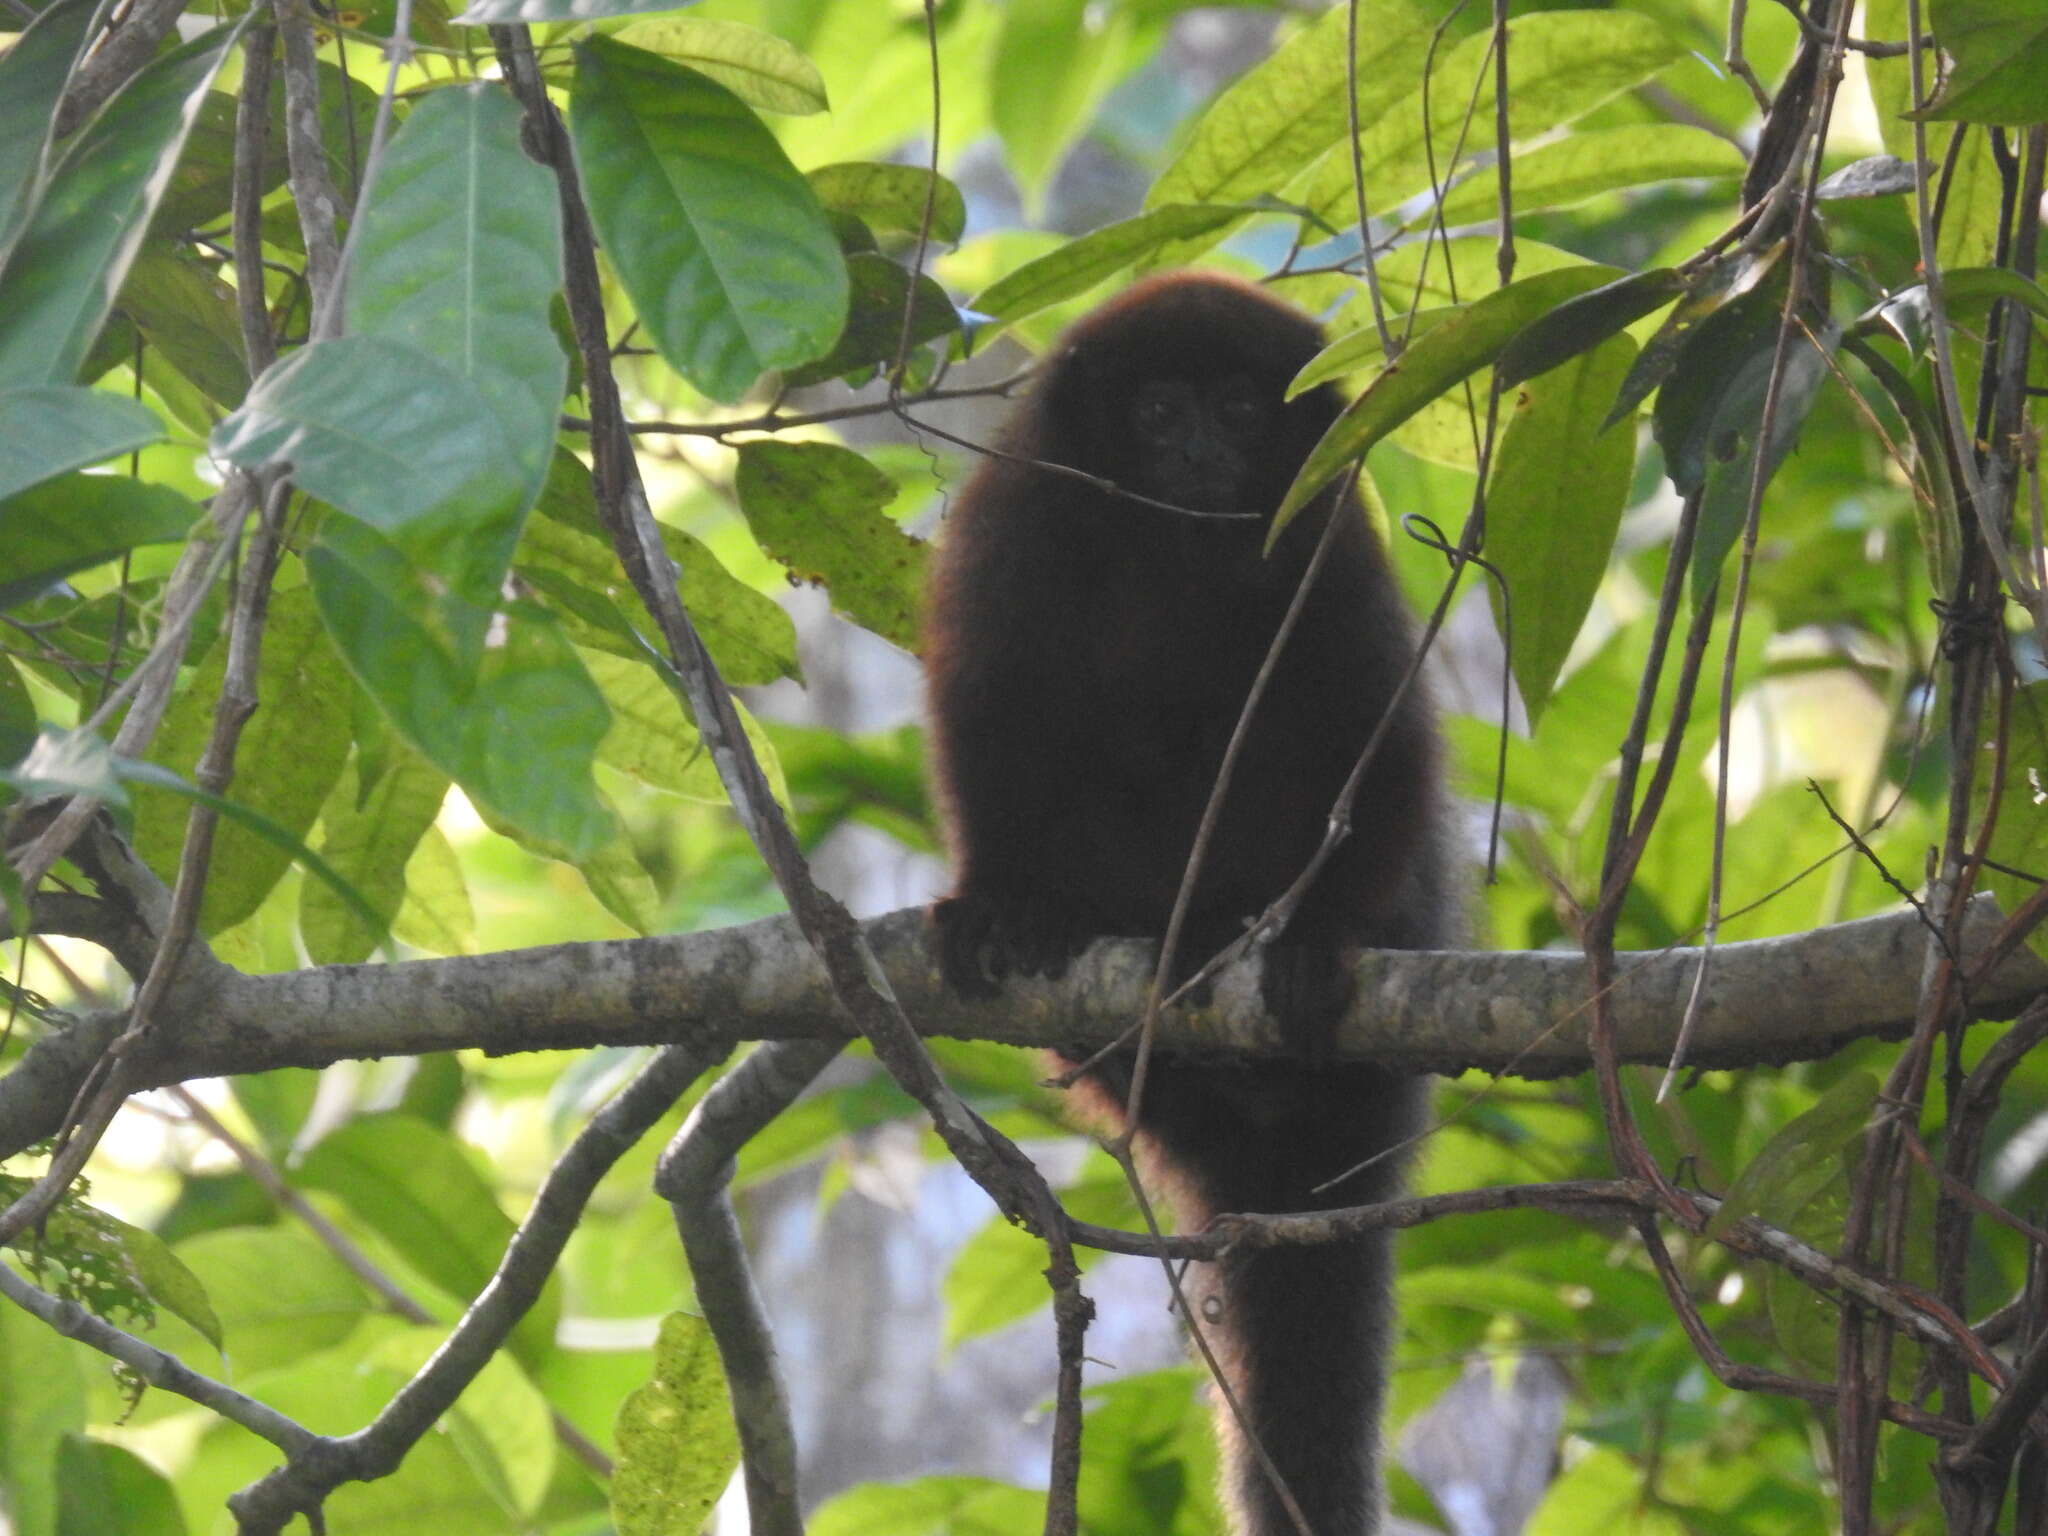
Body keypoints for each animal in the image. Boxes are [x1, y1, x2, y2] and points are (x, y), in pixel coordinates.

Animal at [929, 270, 1458, 1531]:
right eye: (1159, 409)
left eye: (1239, 409)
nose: (1202, 453)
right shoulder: (1020, 517)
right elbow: (992, 705)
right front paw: (995, 903)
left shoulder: (1327, 541)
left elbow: (1374, 736)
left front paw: (1317, 938)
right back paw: (1078, 931)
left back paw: (1231, 937)